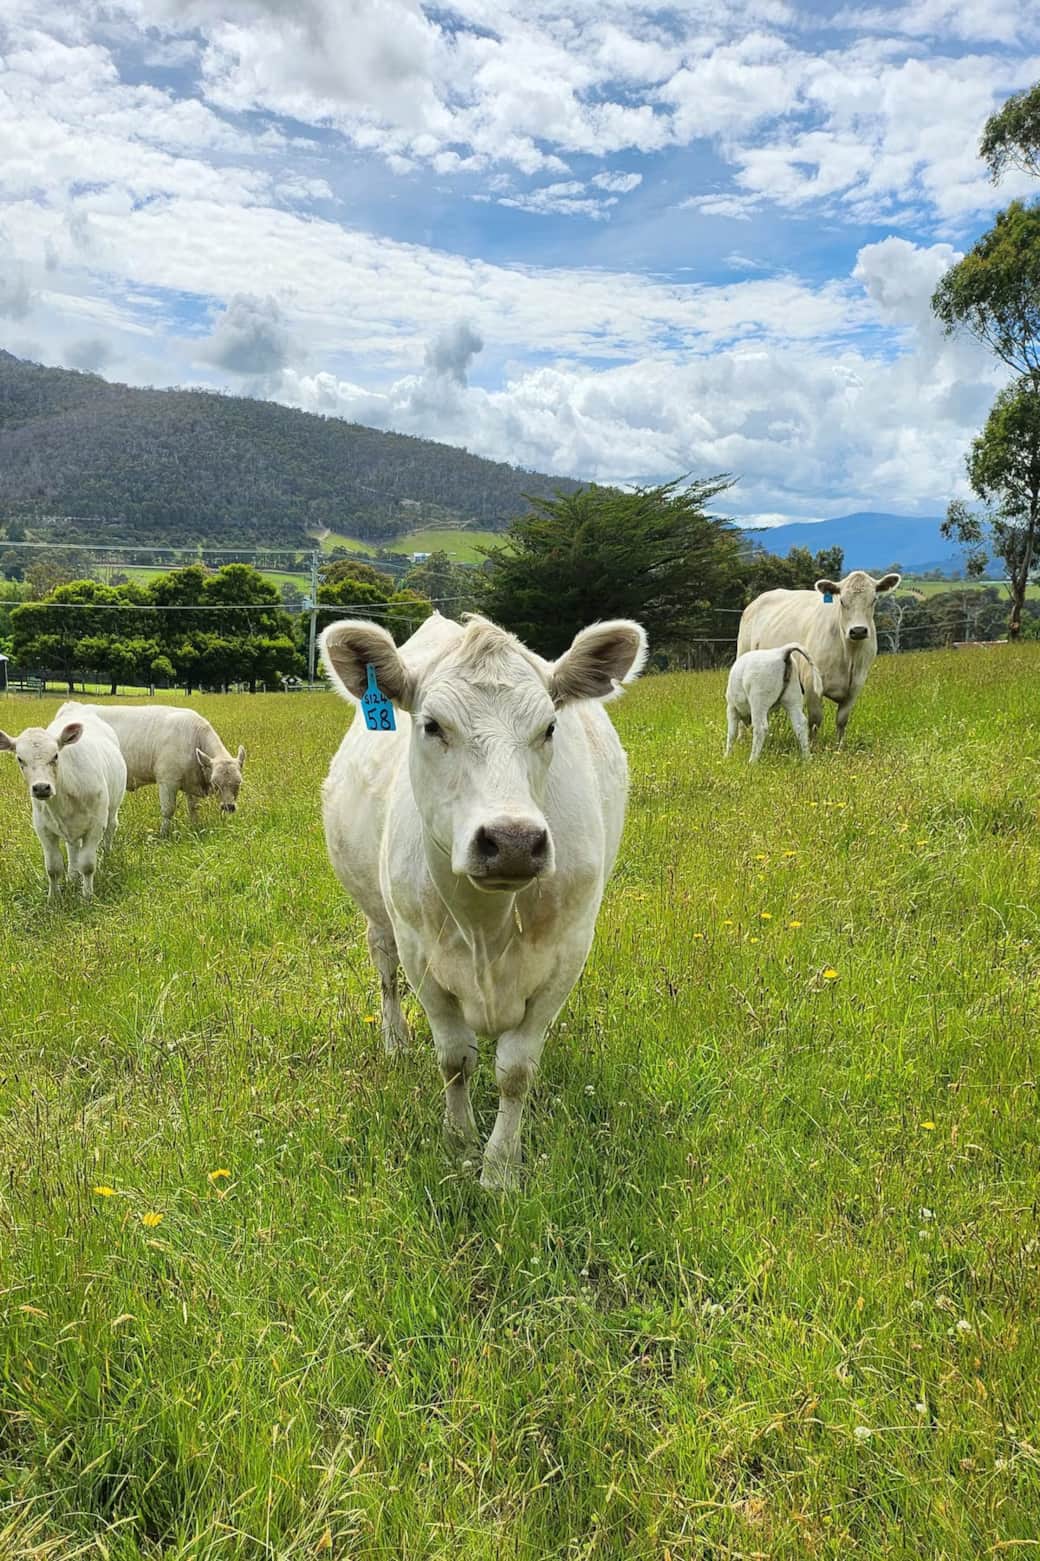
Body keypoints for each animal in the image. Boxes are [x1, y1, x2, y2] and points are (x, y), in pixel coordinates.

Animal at [0, 710, 126, 899]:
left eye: (56, 756)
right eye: (20, 759)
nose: (41, 787)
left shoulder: (96, 825)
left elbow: (88, 865)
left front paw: (87, 897)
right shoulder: (43, 828)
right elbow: (53, 868)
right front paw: (54, 898)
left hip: (112, 809)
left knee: (110, 830)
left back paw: (106, 858)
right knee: (72, 848)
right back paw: (72, 876)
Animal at [59, 703, 246, 836]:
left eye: (239, 782)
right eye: (216, 783)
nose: (229, 807)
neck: (194, 738)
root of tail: (72, 706)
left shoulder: (191, 780)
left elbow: (193, 808)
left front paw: (195, 827)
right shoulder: (167, 781)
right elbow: (168, 810)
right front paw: (163, 835)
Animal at [320, 611, 647, 1191]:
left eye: (550, 727)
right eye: (432, 725)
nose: (513, 840)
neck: (486, 928)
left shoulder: (567, 955)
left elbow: (515, 1069)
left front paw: (499, 1169)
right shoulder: (421, 956)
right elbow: (455, 1060)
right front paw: (459, 1144)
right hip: (377, 913)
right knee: (382, 966)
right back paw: (394, 1039)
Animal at [736, 571, 901, 745]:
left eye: (873, 600)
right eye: (842, 601)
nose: (858, 630)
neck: (849, 655)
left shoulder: (855, 686)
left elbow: (842, 720)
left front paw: (839, 747)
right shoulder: (812, 684)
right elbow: (815, 720)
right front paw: (813, 746)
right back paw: (741, 738)